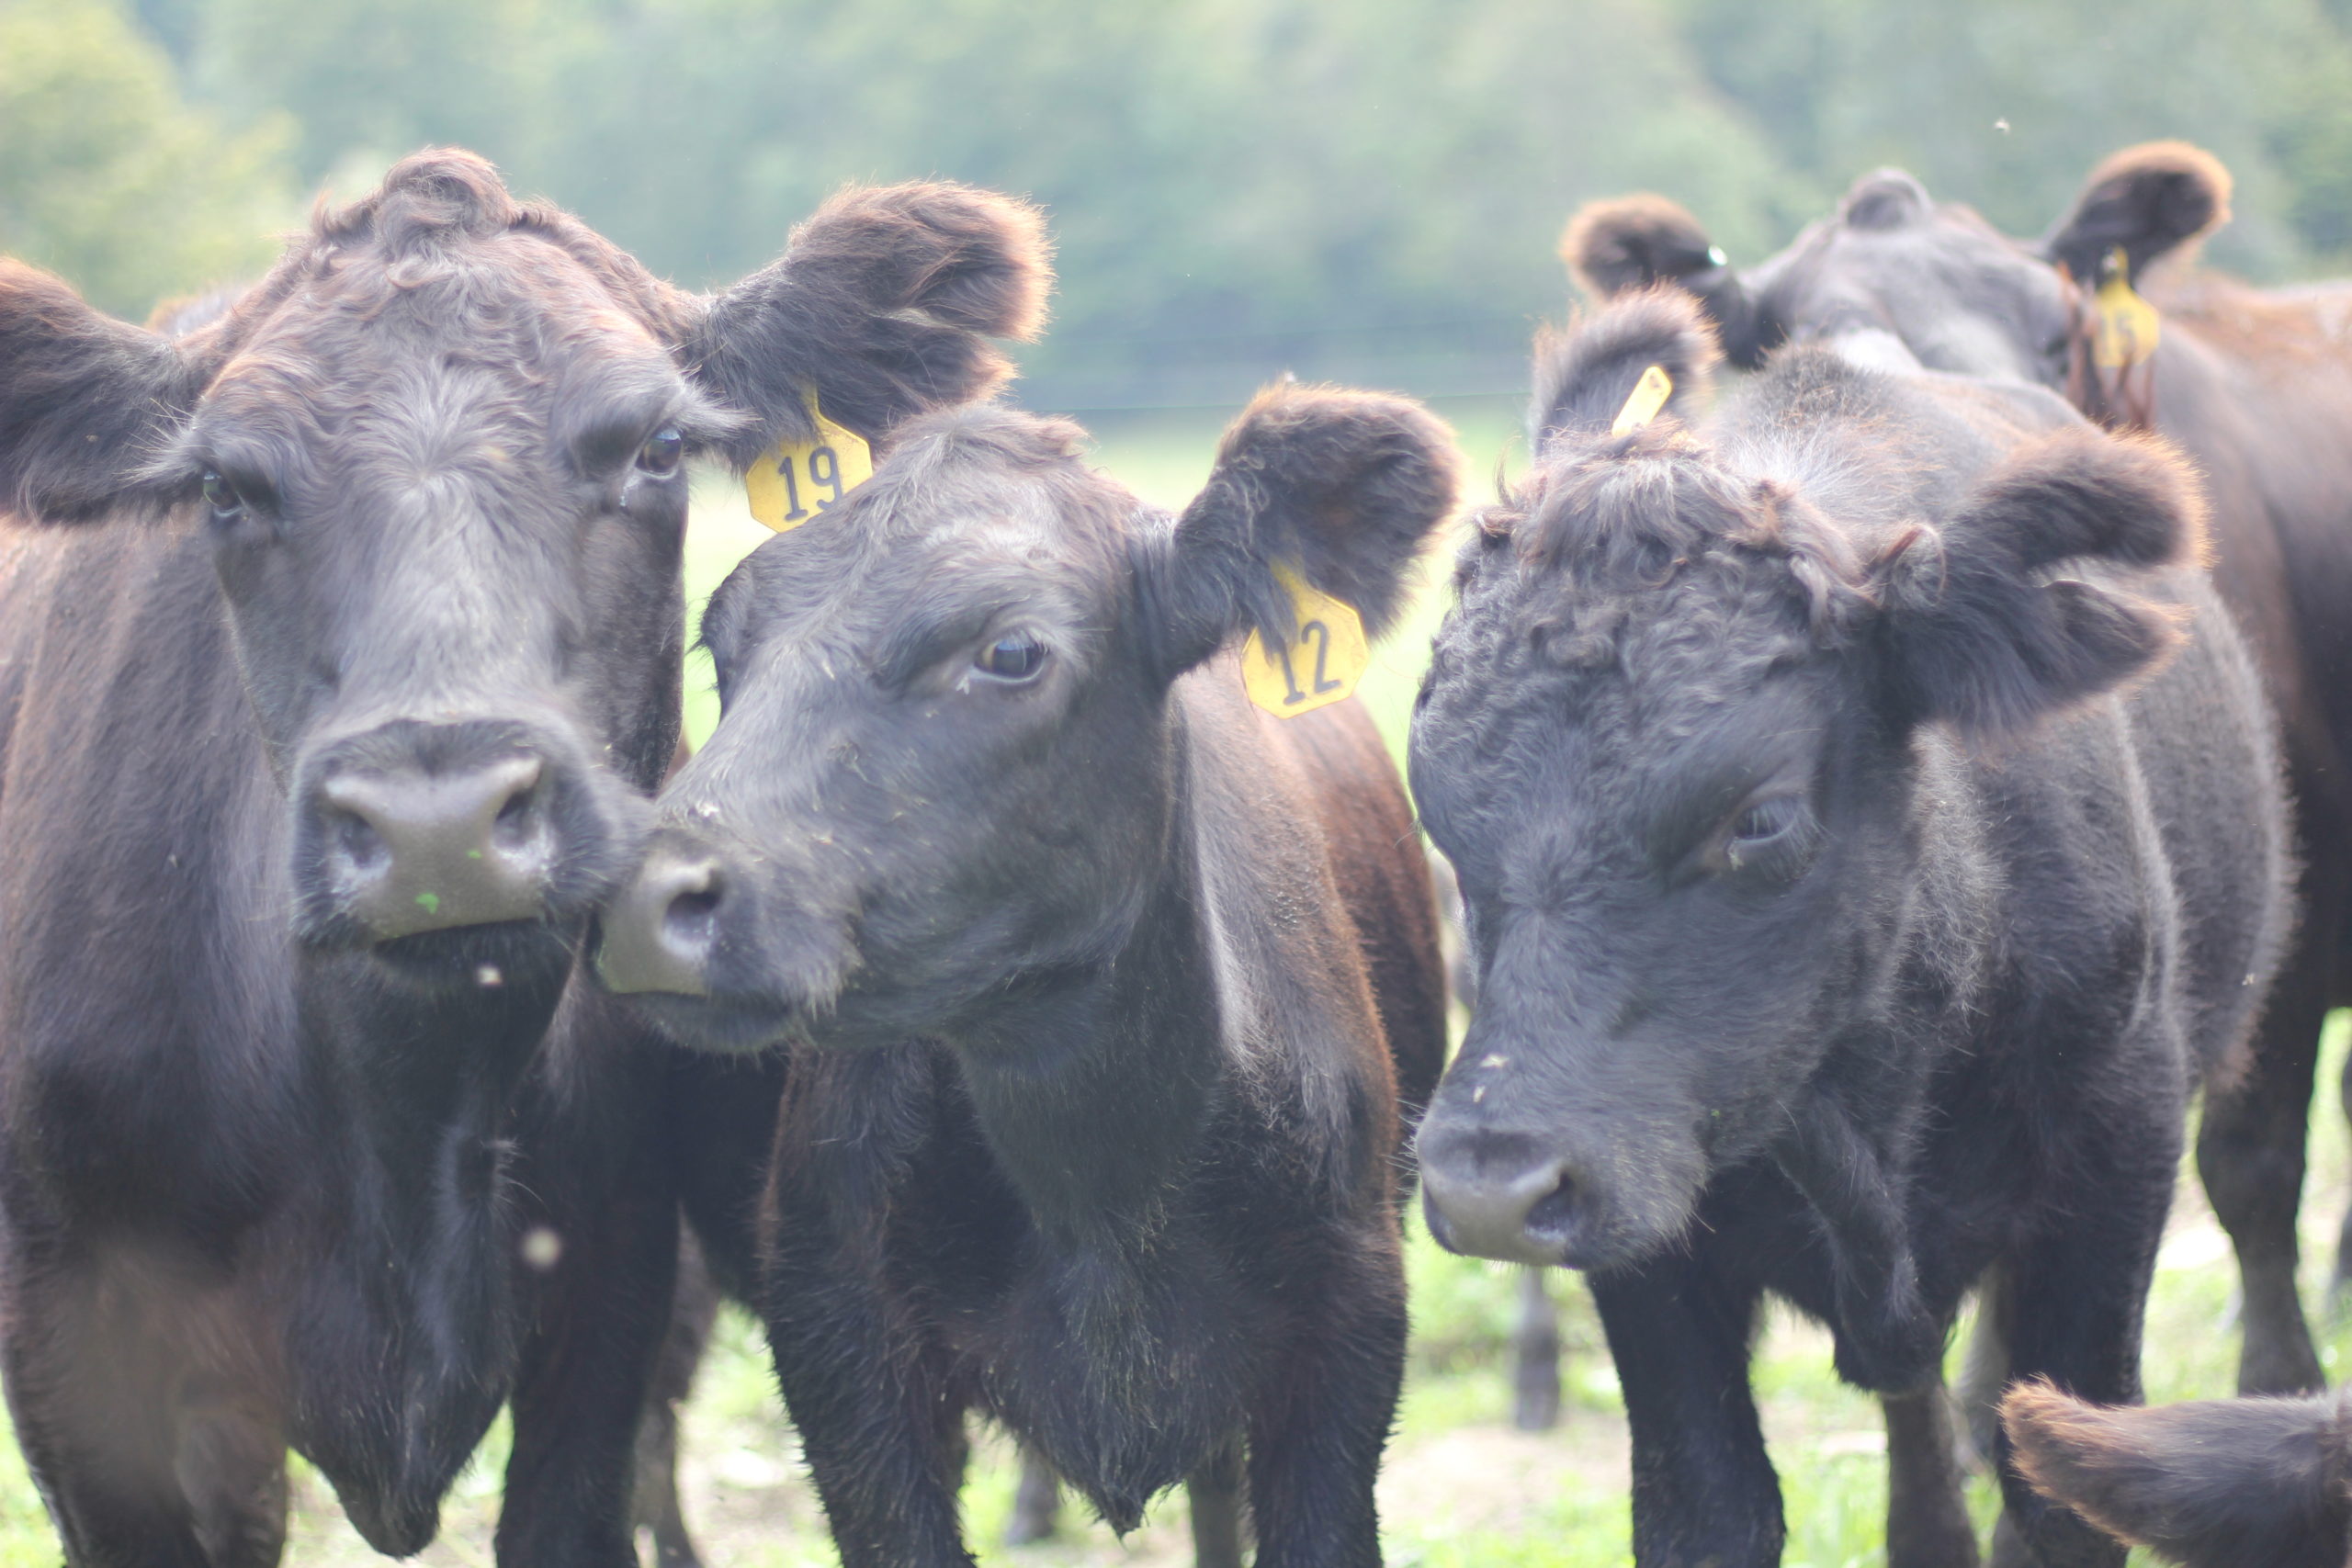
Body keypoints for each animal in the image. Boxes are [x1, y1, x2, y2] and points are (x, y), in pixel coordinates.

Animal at [595, 386, 1458, 1568]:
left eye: (1009, 650)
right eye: (724, 644)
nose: (647, 899)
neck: (1099, 1183)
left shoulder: (1347, 1334)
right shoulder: (838, 1349)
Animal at [1408, 289, 2293, 1567]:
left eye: (1761, 817)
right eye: (1437, 801)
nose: (1487, 1183)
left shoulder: (2113, 1171)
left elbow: (2057, 1493)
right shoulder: (1643, 1227)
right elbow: (1707, 1505)